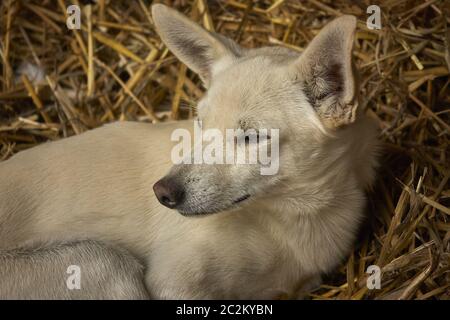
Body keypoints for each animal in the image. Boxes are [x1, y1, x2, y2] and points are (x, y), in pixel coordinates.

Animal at [0, 4, 378, 300]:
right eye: (199, 121)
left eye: (252, 137)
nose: (162, 192)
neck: (296, 216)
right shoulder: (173, 281)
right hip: (104, 262)